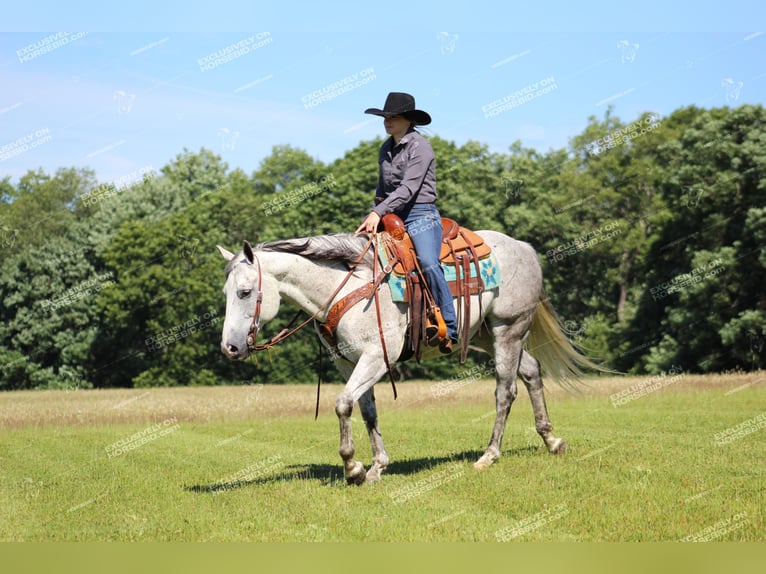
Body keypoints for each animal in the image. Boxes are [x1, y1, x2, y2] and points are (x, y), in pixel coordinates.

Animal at [219, 230, 604, 486]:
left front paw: (353, 468)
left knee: (505, 392)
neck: (346, 288)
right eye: (226, 292)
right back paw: (552, 440)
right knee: (532, 372)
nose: (230, 348)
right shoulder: (349, 361)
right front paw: (376, 466)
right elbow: (366, 410)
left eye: (245, 292)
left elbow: (343, 404)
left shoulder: (376, 357)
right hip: (489, 333)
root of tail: (524, 248)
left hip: (508, 329)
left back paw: (489, 456)